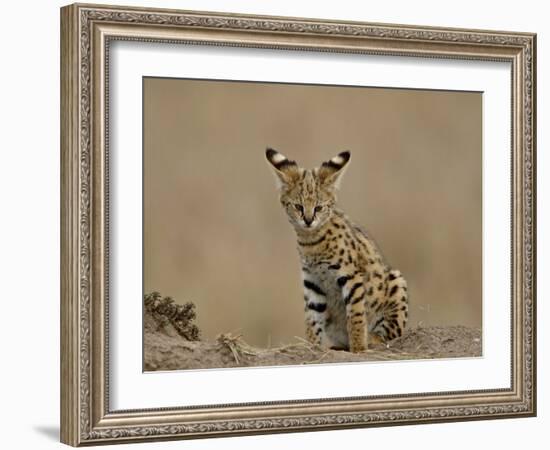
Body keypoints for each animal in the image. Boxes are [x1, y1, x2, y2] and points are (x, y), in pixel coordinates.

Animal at [266, 149, 412, 354]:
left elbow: (356, 315)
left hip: (396, 281)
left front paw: (358, 348)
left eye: (319, 207)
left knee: (390, 334)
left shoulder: (351, 275)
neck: (311, 242)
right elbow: (312, 318)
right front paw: (312, 348)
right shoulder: (312, 280)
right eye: (298, 207)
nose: (308, 220)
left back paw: (371, 339)